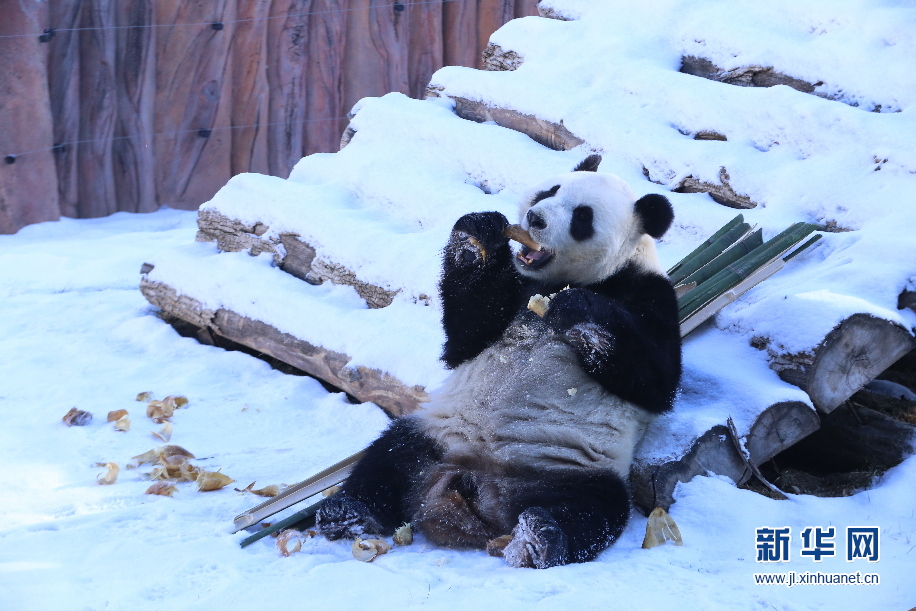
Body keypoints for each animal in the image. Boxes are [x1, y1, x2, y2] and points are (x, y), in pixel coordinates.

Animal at [314, 154, 680, 568]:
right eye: (549, 191)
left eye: (583, 217)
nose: (536, 219)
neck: (567, 280)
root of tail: (470, 487)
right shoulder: (514, 294)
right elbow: (467, 336)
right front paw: (478, 236)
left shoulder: (651, 294)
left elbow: (656, 382)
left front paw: (580, 310)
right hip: (438, 435)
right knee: (389, 457)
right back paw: (348, 512)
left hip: (572, 467)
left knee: (592, 509)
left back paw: (540, 538)